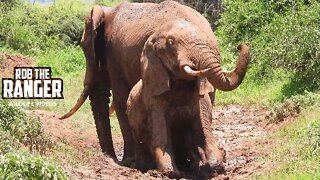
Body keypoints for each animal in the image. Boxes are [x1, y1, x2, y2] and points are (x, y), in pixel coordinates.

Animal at [59, 0, 250, 167]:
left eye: (83, 46)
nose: (110, 158)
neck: (107, 10)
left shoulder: (113, 55)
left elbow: (121, 100)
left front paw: (130, 162)